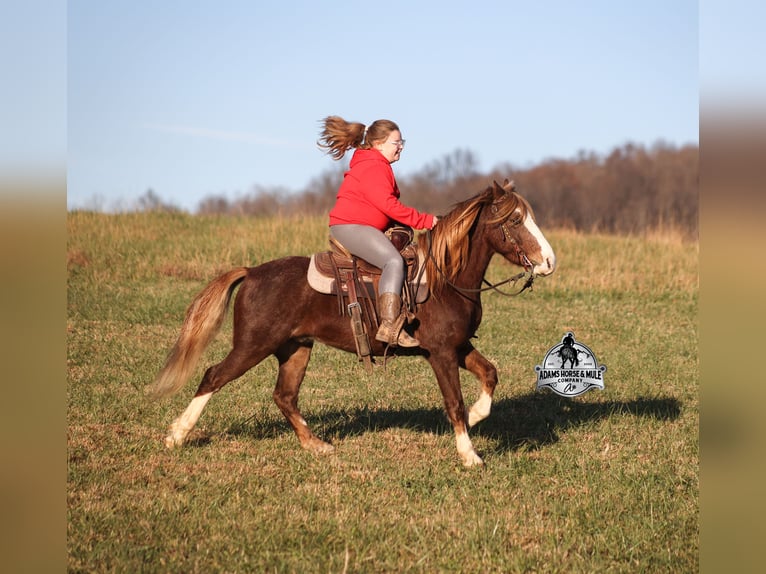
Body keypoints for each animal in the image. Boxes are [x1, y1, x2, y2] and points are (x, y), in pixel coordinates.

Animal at [147, 179, 556, 466]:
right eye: (516, 220)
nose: (549, 261)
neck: (445, 277)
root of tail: (251, 272)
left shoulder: (458, 346)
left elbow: (490, 374)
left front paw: (475, 416)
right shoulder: (441, 353)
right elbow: (453, 401)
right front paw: (469, 454)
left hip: (296, 349)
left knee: (284, 395)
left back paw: (316, 445)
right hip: (252, 346)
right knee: (213, 376)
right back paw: (177, 436)